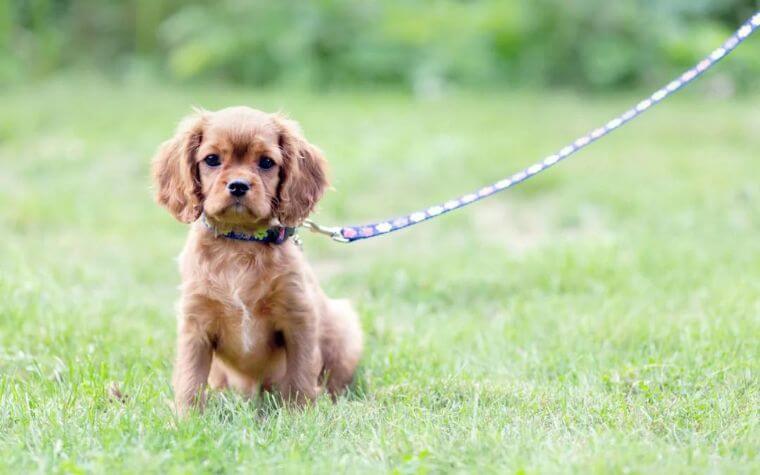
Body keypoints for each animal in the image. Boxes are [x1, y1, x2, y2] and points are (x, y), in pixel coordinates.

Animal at [153, 107, 364, 412]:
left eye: (266, 162)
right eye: (212, 159)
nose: (239, 186)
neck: (240, 244)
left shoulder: (298, 317)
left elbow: (300, 374)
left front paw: (299, 415)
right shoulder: (196, 323)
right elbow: (190, 378)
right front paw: (186, 418)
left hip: (343, 327)